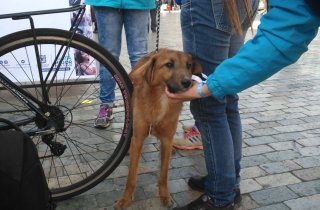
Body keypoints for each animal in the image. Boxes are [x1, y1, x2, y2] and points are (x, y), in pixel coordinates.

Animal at [114, 48, 201, 208]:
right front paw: (126, 198)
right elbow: (131, 176)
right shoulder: (139, 137)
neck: (162, 99)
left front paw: (165, 195)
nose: (187, 82)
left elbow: (164, 174)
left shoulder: (166, 139)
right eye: (169, 64)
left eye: (189, 65)